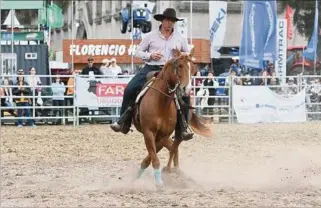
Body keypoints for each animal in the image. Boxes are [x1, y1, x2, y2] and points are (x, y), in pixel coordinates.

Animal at [130, 48, 212, 186]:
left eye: (193, 68)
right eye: (179, 66)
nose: (186, 89)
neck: (161, 102)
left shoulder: (163, 135)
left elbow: (155, 156)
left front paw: (163, 175)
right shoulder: (149, 133)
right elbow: (154, 158)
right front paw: (158, 182)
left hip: (177, 132)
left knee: (175, 146)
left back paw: (175, 170)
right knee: (173, 147)